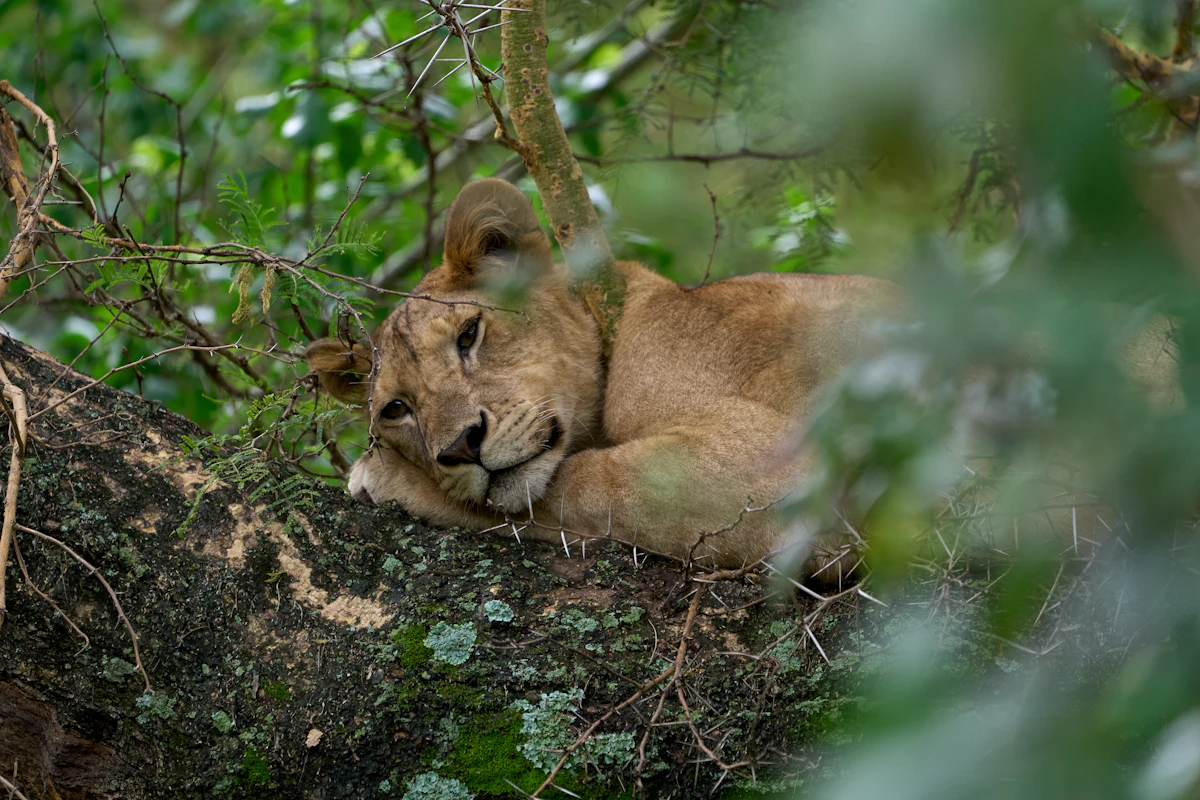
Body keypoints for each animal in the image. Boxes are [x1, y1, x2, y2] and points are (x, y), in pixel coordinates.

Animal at [306, 178, 1180, 573]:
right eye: (397, 408)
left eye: (471, 334)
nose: (459, 447)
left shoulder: (776, 472)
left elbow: (587, 487)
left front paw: (384, 480)